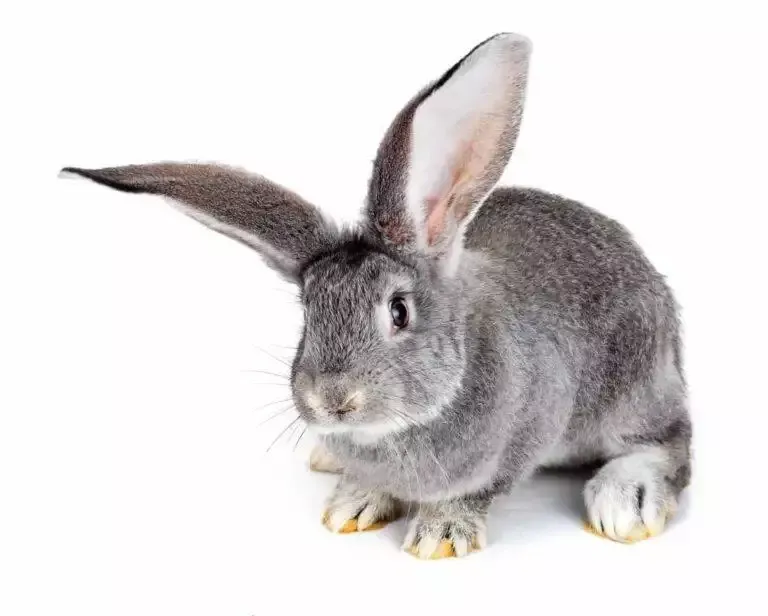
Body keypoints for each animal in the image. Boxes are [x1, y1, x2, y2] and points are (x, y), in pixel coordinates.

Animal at [60, 32, 691, 558]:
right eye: (308, 311)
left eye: (399, 311)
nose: (332, 400)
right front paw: (354, 501)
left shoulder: (526, 430)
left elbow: (476, 490)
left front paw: (440, 533)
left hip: (632, 382)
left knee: (670, 442)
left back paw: (625, 501)